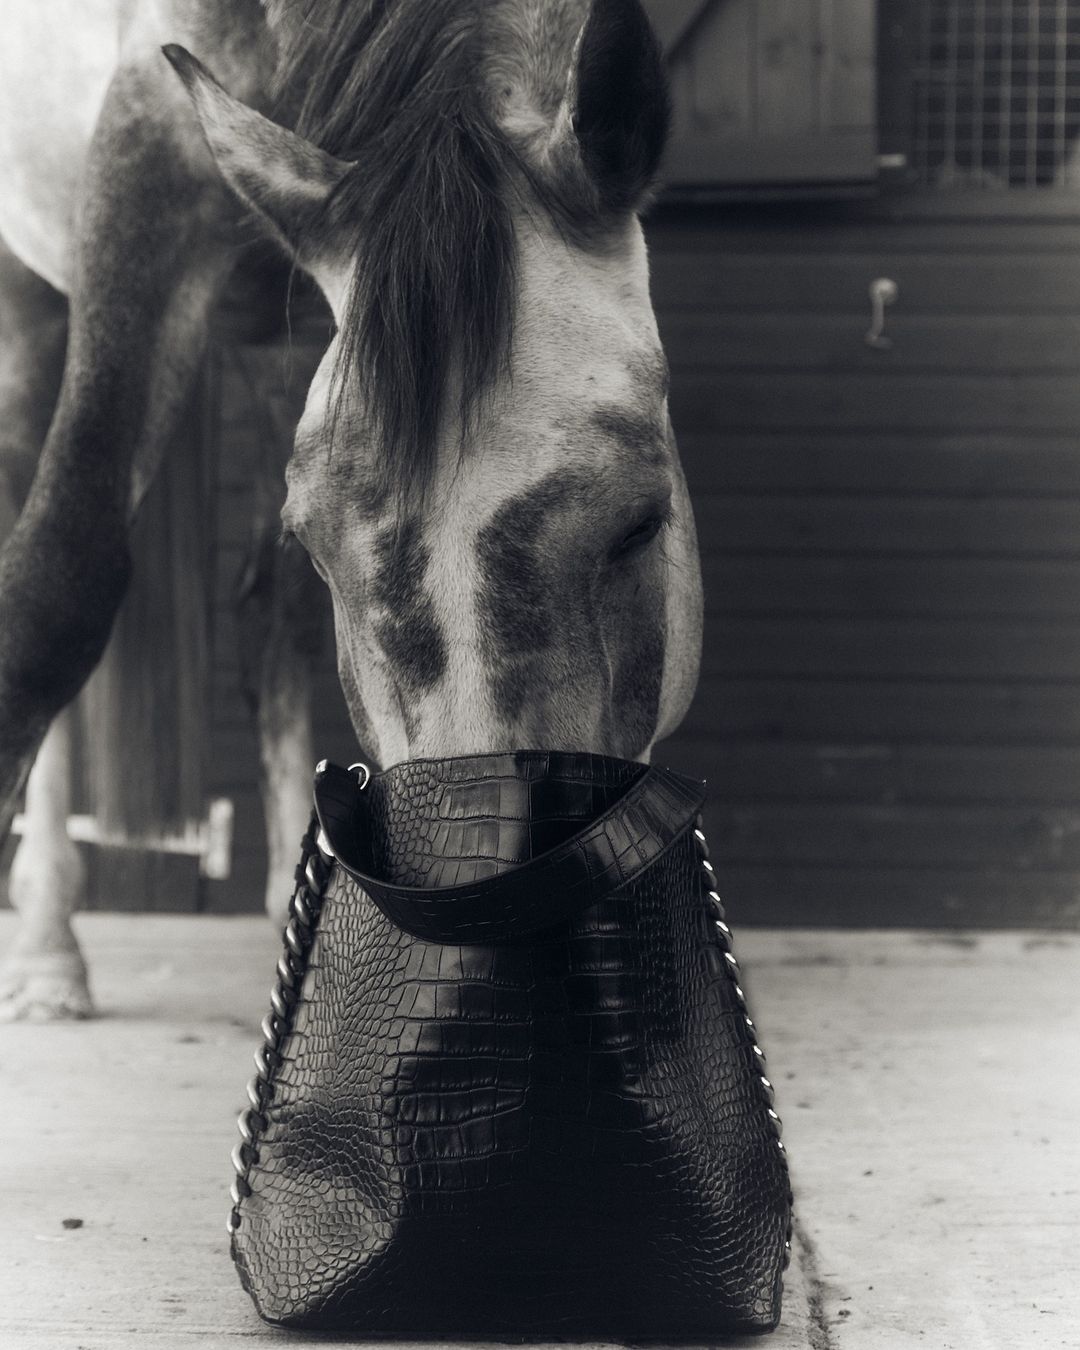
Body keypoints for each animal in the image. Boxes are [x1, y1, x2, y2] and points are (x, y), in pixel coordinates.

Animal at [0, 0, 703, 1020]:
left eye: (642, 523)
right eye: (317, 543)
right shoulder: (144, 149)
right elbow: (55, 589)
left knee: (264, 618)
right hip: (32, 304)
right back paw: (48, 953)